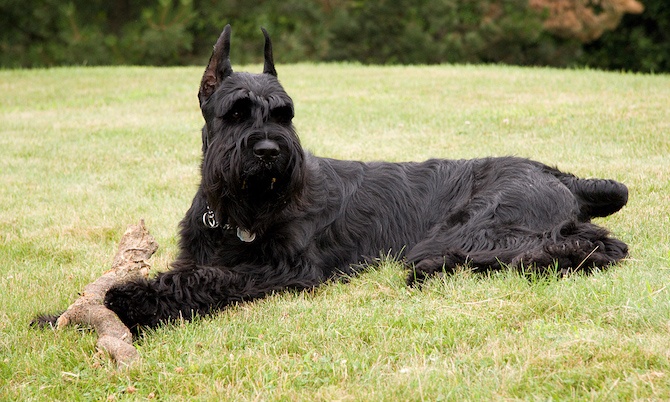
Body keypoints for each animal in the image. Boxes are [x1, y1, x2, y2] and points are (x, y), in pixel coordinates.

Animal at [34, 25, 632, 332]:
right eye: (236, 111)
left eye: (285, 114)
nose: (270, 151)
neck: (238, 213)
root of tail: (562, 177)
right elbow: (184, 272)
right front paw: (58, 314)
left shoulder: (283, 270)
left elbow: (201, 281)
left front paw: (127, 304)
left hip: (477, 229)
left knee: (588, 247)